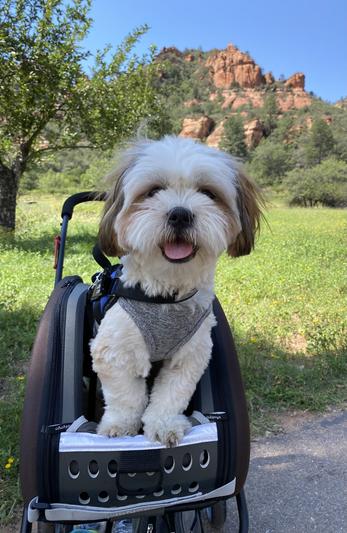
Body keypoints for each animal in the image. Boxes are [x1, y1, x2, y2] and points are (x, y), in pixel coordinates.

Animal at [90, 134, 264, 444]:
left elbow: (171, 395)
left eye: (208, 193)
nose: (180, 214)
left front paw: (164, 425)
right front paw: (119, 427)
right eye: (153, 191)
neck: (165, 297)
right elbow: (125, 396)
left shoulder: (189, 355)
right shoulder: (114, 350)